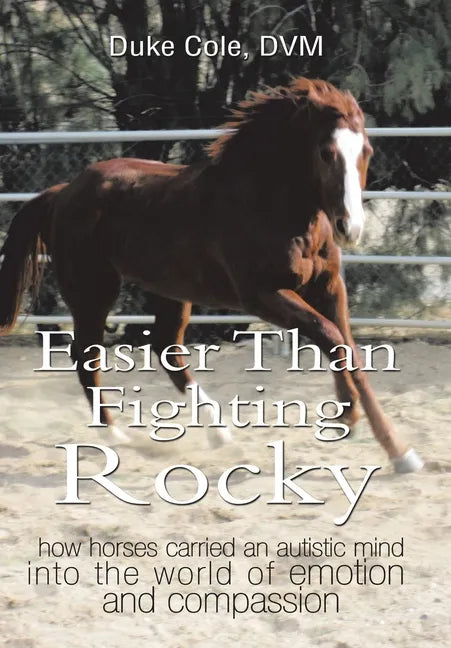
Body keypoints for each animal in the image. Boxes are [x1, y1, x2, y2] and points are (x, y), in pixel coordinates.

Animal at [0, 78, 422, 472]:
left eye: (366, 151)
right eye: (326, 152)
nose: (349, 227)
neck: (270, 206)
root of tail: (63, 192)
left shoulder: (329, 287)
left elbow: (348, 350)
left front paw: (400, 453)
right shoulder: (262, 294)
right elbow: (330, 337)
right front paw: (347, 416)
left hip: (169, 289)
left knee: (166, 348)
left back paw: (220, 434)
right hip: (94, 289)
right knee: (86, 354)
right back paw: (116, 434)